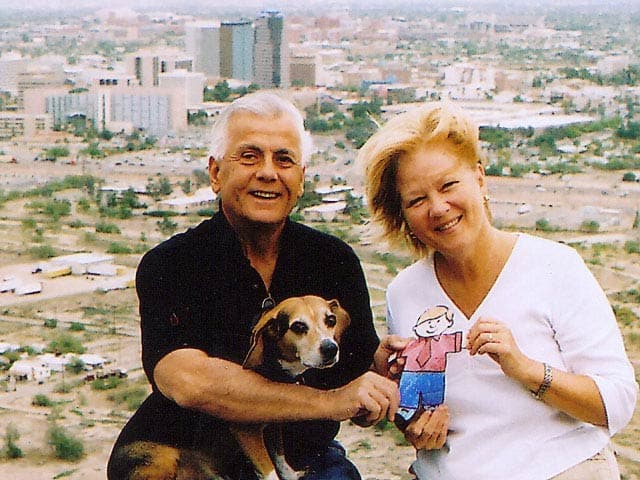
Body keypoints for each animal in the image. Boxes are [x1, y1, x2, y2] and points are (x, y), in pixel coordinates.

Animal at [109, 296, 350, 480]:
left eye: (330, 320)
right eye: (298, 327)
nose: (331, 349)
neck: (270, 360)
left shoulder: (273, 424)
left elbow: (281, 460)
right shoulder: (247, 432)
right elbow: (270, 472)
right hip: (163, 457)